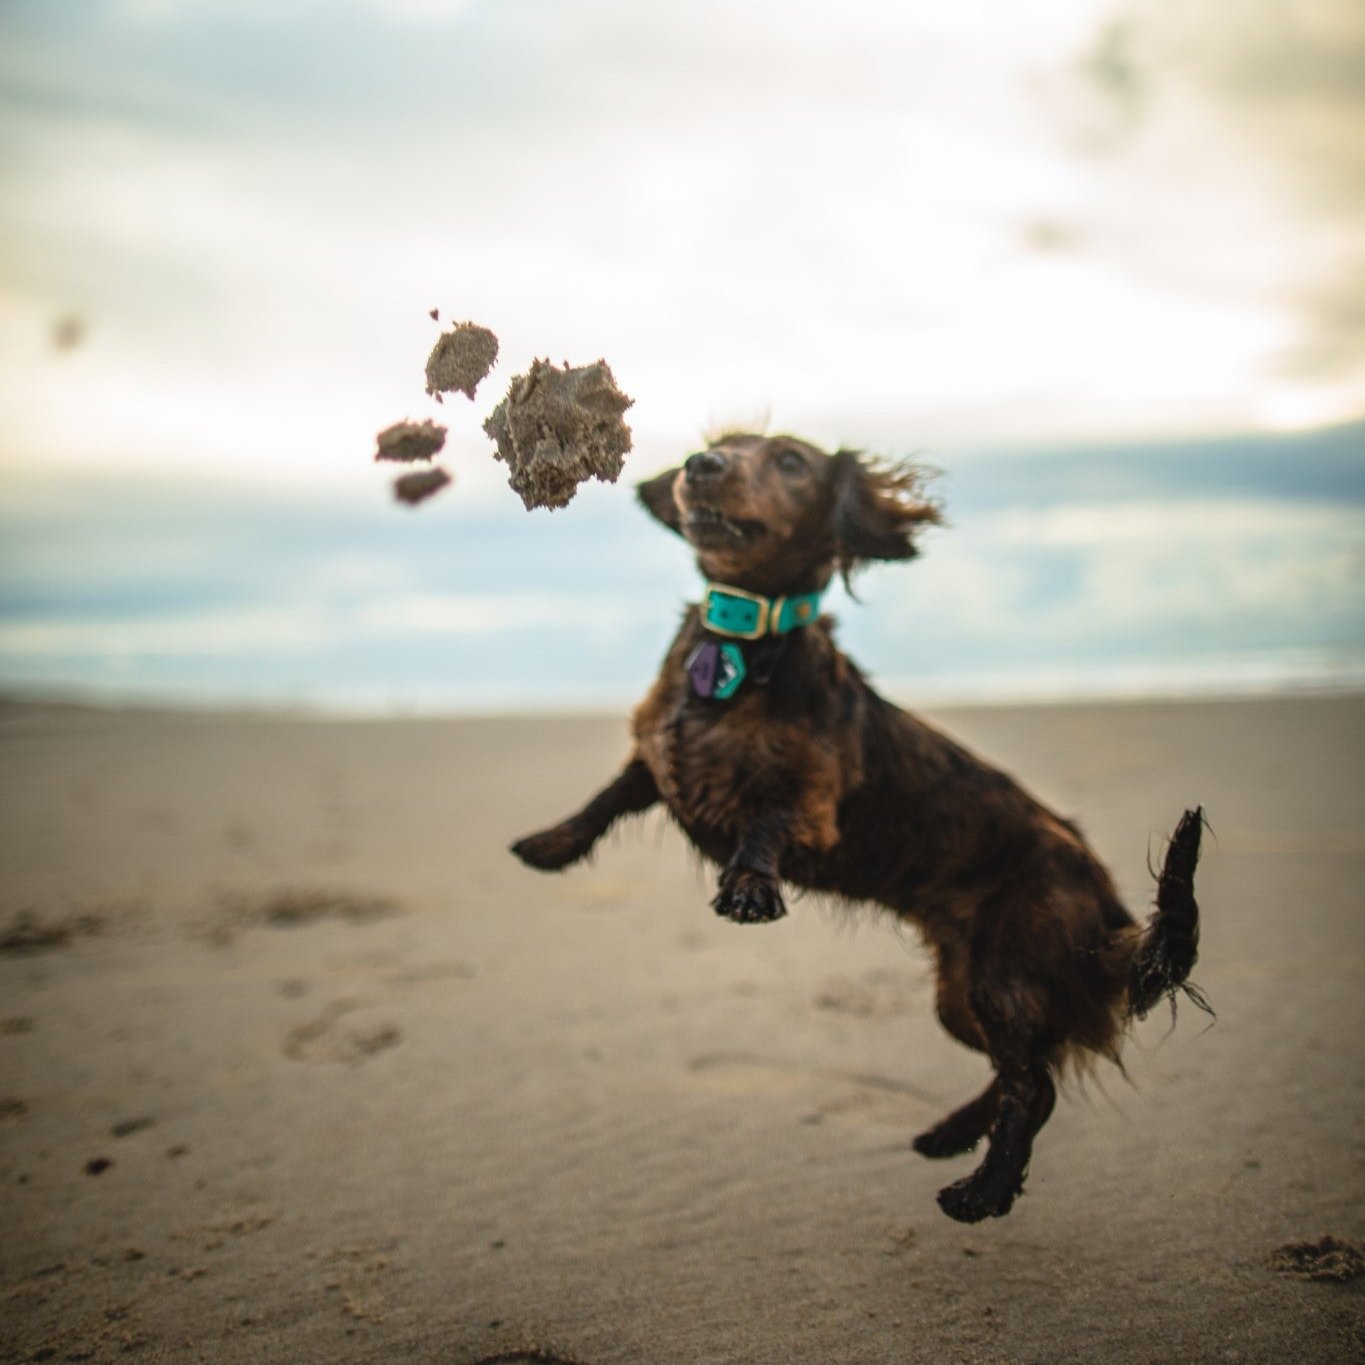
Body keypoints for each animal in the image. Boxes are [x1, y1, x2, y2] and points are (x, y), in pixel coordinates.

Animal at [513, 431, 1206, 1223]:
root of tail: (1110, 911)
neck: (741, 642)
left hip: (1005, 975)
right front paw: (551, 843)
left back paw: (982, 1191)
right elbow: (610, 794)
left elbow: (766, 817)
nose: (700, 466)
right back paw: (949, 1134)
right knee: (1027, 1074)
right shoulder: (657, 752)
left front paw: (749, 885)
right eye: (719, 444)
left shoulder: (813, 798)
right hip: (961, 995)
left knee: (1034, 1087)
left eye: (789, 461)